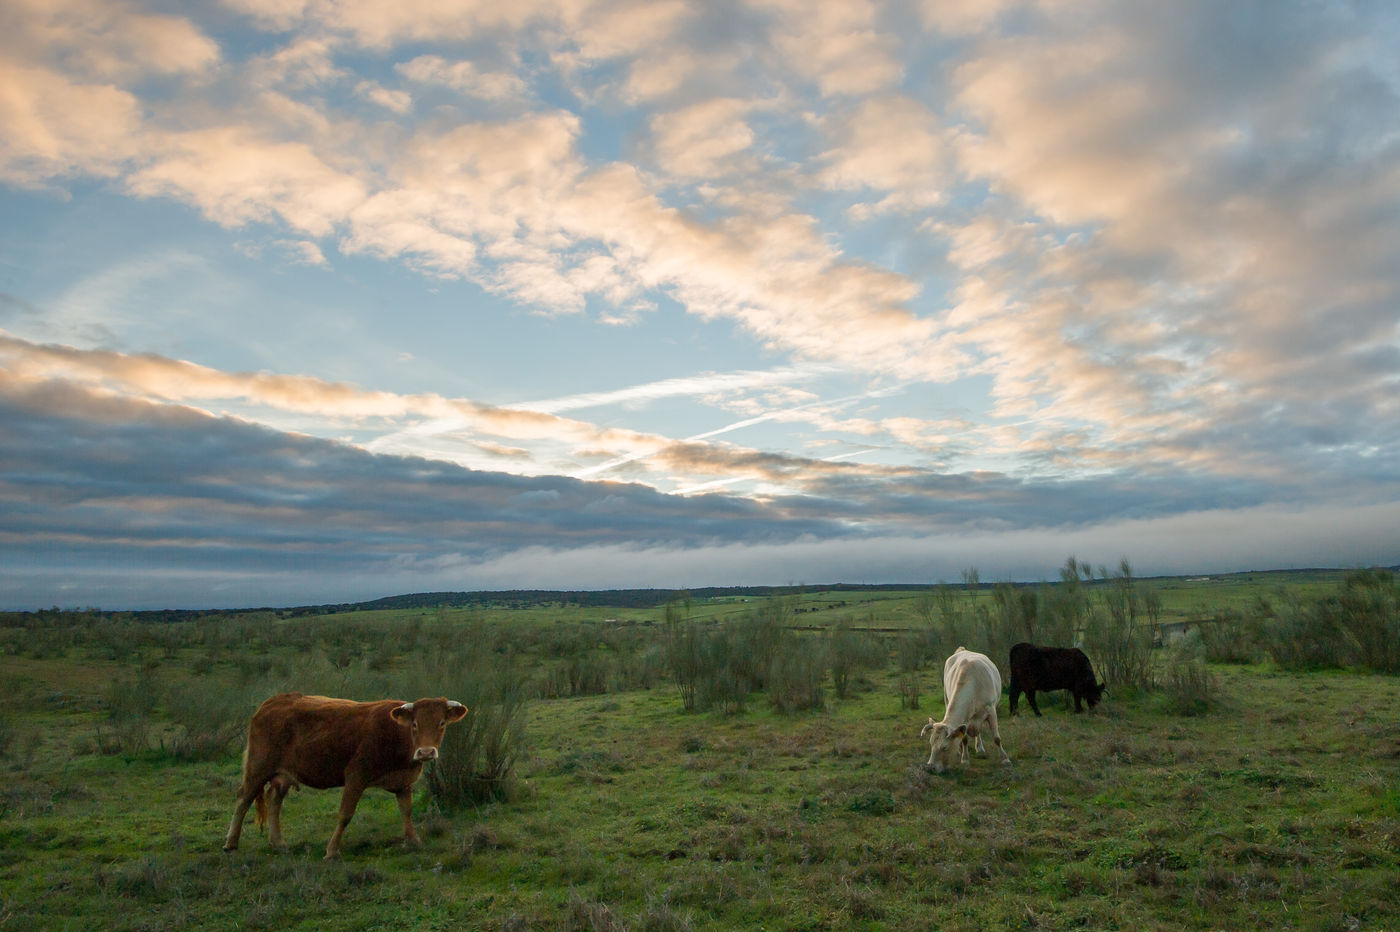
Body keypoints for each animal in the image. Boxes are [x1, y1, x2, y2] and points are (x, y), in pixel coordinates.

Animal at [221, 688, 467, 856]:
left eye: (441, 723)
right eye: (415, 724)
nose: (426, 752)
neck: (395, 734)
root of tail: (272, 701)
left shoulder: (403, 782)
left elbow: (406, 811)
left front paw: (414, 840)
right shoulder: (355, 776)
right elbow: (345, 814)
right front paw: (332, 851)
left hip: (283, 776)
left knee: (274, 802)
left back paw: (278, 842)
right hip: (258, 767)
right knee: (243, 799)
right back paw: (231, 842)